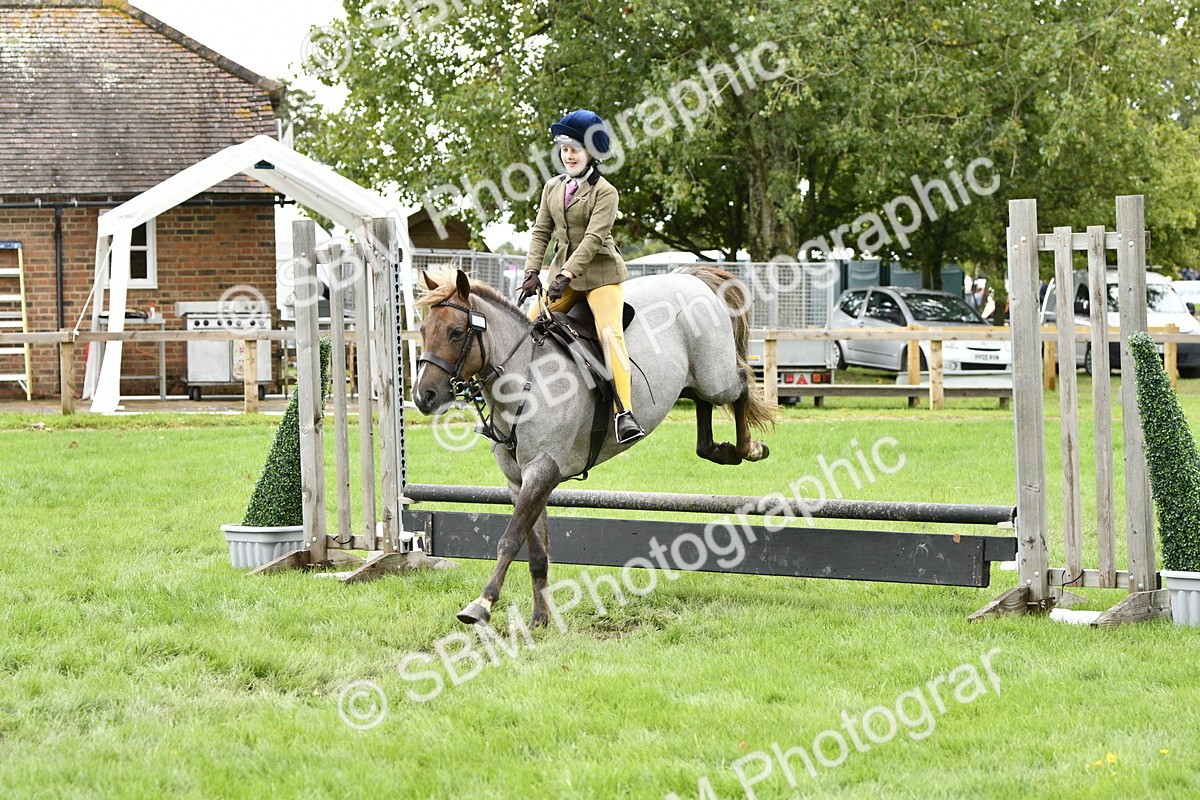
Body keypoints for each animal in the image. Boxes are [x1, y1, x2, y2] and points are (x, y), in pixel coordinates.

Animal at [413, 265, 775, 627]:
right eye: (424, 330)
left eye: (456, 332)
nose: (422, 397)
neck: (525, 380)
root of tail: (688, 275)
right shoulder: (519, 482)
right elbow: (537, 550)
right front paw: (540, 619)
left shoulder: (542, 470)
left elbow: (510, 539)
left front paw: (482, 604)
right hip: (693, 382)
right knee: (703, 412)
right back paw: (722, 451)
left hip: (715, 378)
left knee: (741, 384)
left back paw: (750, 448)